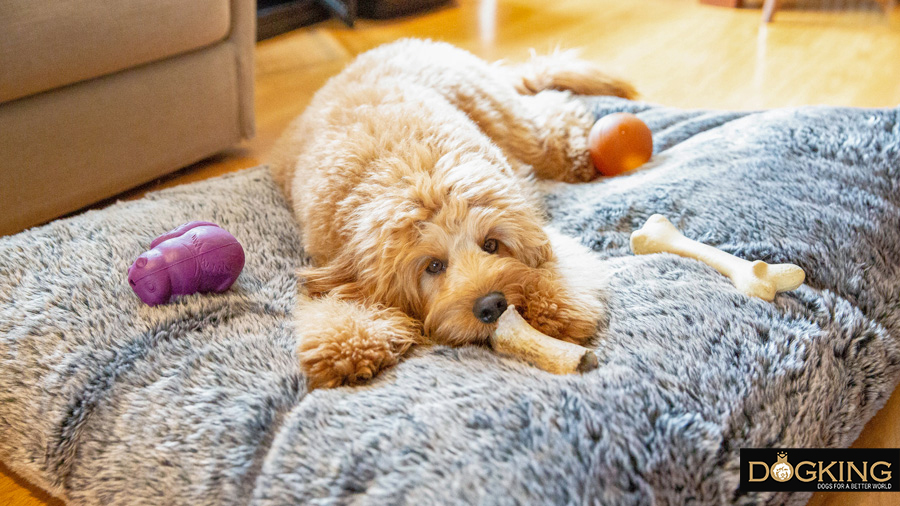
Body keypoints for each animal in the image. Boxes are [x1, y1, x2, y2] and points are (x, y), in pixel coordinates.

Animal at [268, 38, 632, 388]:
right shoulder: (337, 268)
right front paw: (345, 348)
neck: (413, 173)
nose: (492, 305)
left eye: (491, 244)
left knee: (557, 111)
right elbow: (342, 304)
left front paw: (552, 308)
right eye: (433, 266)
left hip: (517, 127)